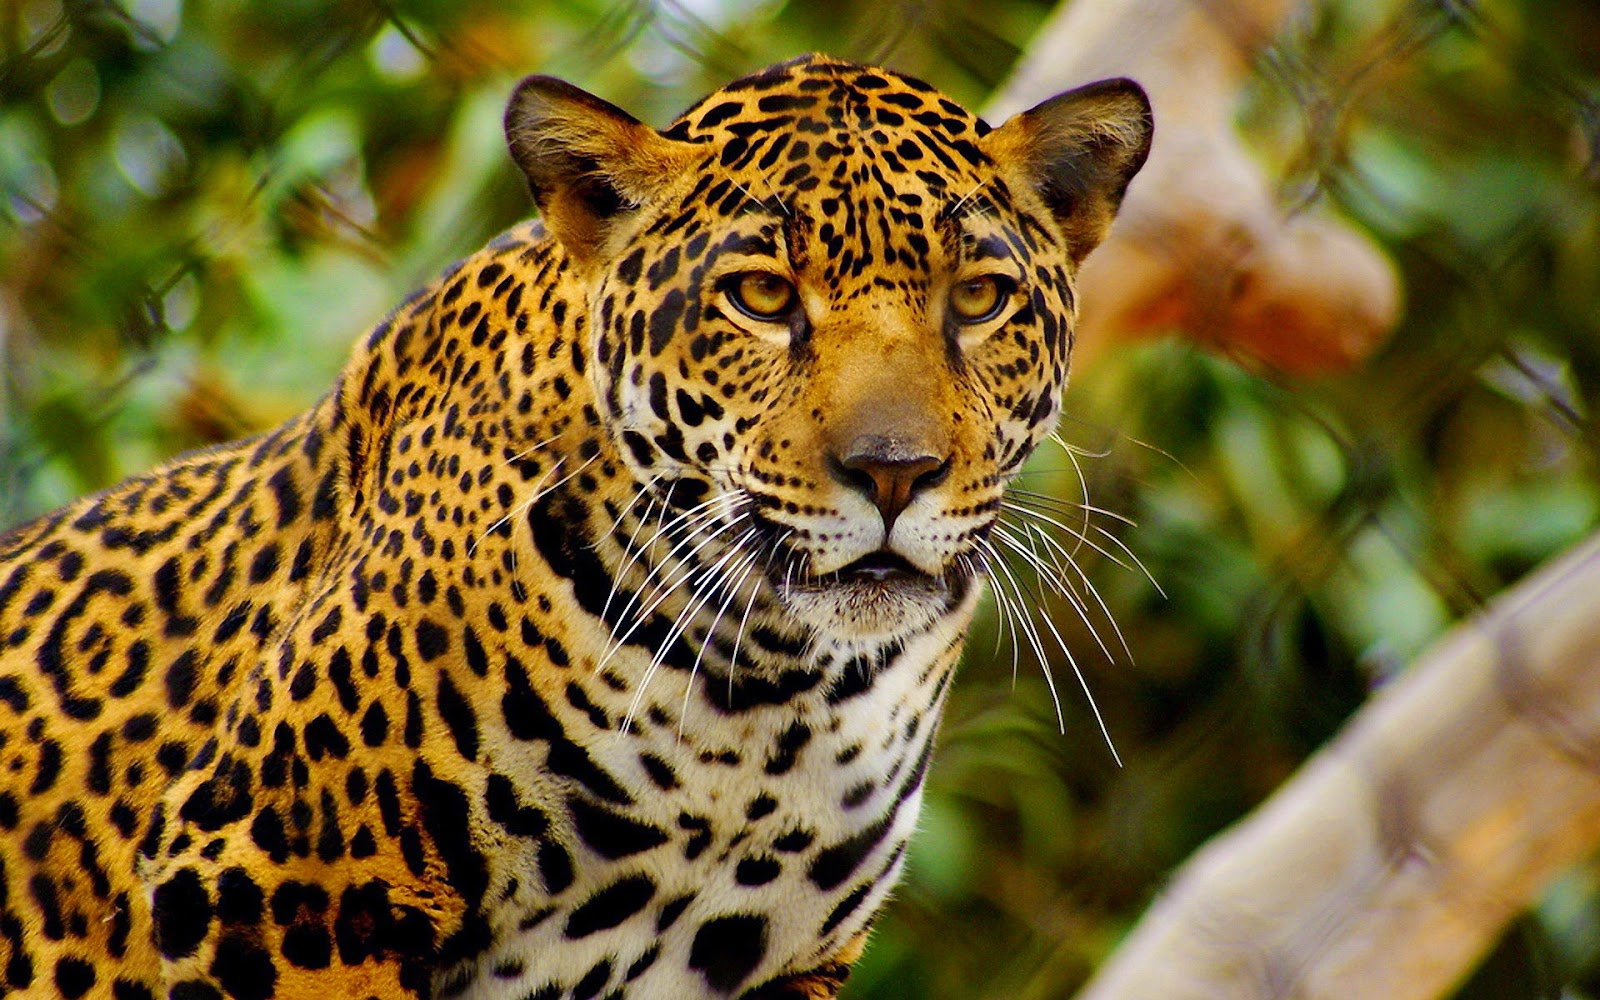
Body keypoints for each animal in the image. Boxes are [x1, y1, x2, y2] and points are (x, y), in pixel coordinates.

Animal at [0, 54, 1150, 999]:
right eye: (761, 295)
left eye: (981, 298)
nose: (894, 473)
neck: (767, 698)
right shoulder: (275, 881)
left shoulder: (789, 966)